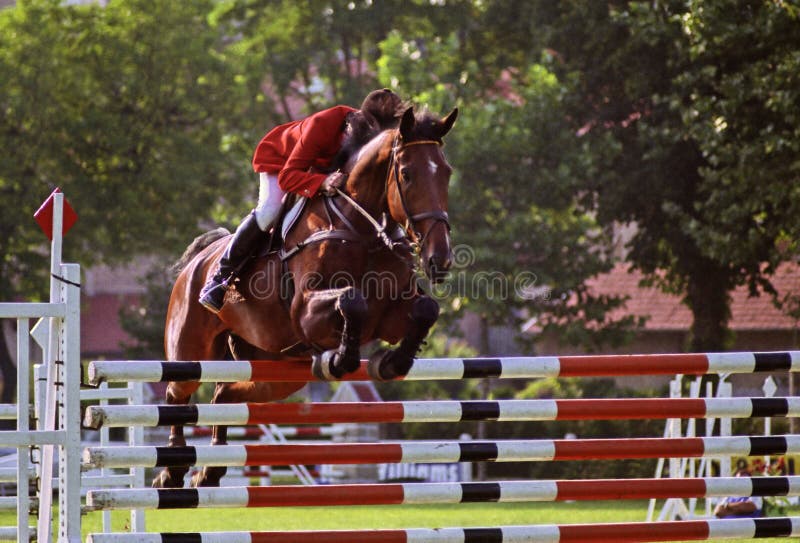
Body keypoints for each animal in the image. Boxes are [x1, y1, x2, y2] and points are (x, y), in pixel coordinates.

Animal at [153, 106, 460, 488]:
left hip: (277, 373)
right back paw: (172, 470)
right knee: (176, 394)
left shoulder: (389, 317)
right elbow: (352, 301)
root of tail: (198, 260)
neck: (362, 230)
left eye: (446, 172)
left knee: (225, 394)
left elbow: (425, 308)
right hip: (190, 351)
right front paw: (339, 359)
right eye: (407, 173)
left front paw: (392, 362)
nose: (440, 259)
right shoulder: (306, 311)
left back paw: (209, 472)